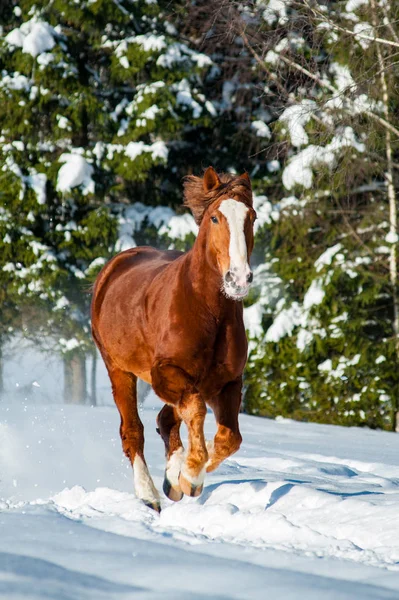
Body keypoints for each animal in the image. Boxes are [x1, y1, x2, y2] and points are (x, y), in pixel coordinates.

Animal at [91, 168, 256, 510]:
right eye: (215, 218)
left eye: (252, 217)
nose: (238, 279)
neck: (206, 311)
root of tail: (113, 267)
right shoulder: (164, 373)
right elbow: (195, 410)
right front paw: (191, 475)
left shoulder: (228, 381)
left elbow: (229, 439)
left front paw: (185, 476)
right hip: (118, 369)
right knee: (133, 431)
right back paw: (149, 494)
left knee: (167, 419)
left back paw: (170, 480)